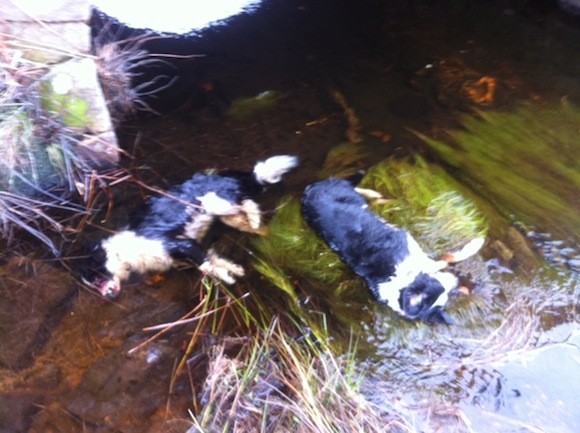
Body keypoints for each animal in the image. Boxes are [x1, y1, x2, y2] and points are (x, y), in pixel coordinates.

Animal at [82, 154, 300, 296]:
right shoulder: (187, 254)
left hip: (217, 203)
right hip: (230, 218)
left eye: (96, 278)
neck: (124, 251)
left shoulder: (181, 244)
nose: (106, 296)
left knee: (248, 201)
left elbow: (207, 266)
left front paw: (227, 277)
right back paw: (262, 231)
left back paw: (254, 217)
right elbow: (214, 261)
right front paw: (234, 271)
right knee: (253, 218)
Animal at [302, 177, 482, 322]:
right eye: (439, 287)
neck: (402, 282)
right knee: (357, 191)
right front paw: (476, 244)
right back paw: (379, 196)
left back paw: (378, 196)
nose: (456, 281)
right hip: (349, 195)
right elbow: (447, 259)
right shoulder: (414, 250)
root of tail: (308, 191)